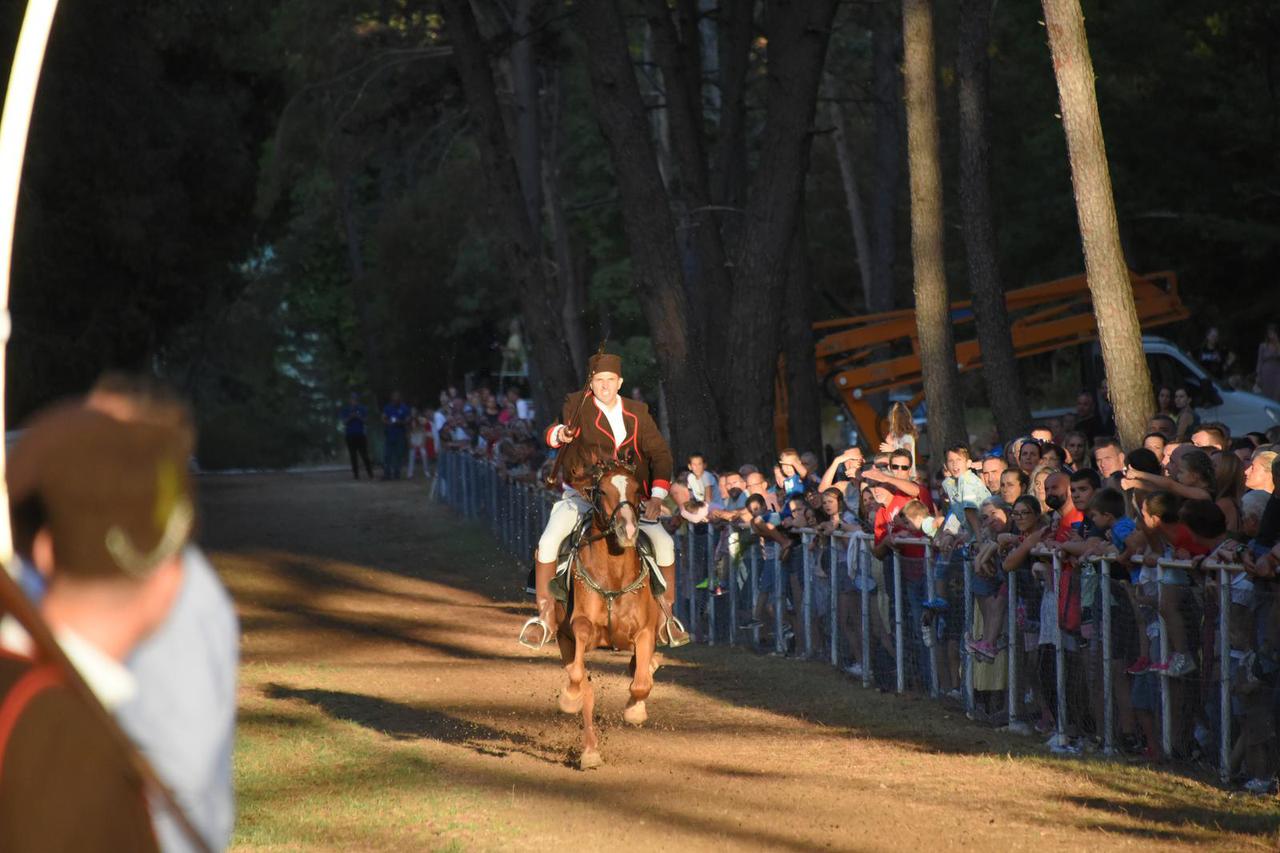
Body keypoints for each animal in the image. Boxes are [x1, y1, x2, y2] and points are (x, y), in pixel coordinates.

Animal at [558, 455, 665, 768]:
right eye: (603, 491)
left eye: (637, 491)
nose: (627, 530)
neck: (614, 575)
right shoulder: (580, 629)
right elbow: (579, 674)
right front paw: (569, 698)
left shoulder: (644, 632)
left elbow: (640, 683)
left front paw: (635, 710)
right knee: (584, 687)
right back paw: (590, 751)